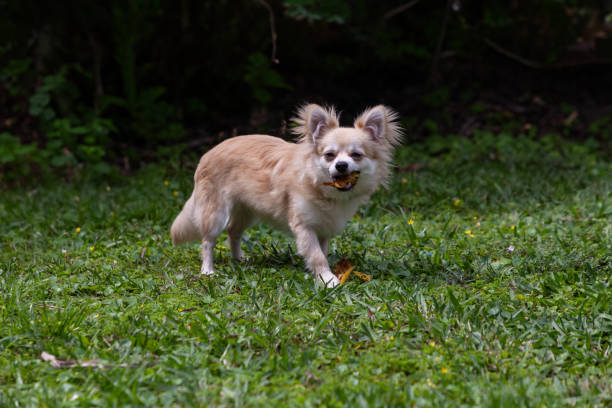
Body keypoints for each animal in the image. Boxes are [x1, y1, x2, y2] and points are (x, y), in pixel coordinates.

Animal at [172, 105, 402, 288]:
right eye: (329, 155)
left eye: (356, 155)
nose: (341, 165)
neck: (323, 190)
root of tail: (207, 154)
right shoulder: (304, 227)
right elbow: (317, 256)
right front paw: (327, 279)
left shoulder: (323, 229)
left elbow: (323, 252)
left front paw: (322, 275)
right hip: (215, 214)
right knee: (207, 242)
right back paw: (208, 270)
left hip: (247, 210)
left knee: (233, 232)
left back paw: (239, 260)